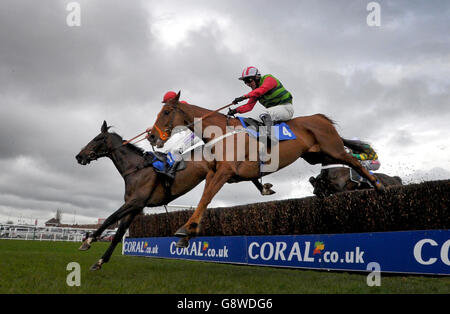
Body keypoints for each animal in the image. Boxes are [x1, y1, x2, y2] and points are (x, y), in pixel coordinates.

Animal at [147, 92, 384, 247]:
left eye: (167, 111)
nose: (151, 136)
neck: (221, 132)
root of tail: (319, 117)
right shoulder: (216, 172)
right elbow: (205, 198)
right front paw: (188, 233)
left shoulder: (224, 172)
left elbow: (205, 198)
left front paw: (186, 229)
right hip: (317, 156)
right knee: (346, 161)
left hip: (332, 149)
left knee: (353, 161)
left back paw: (378, 185)